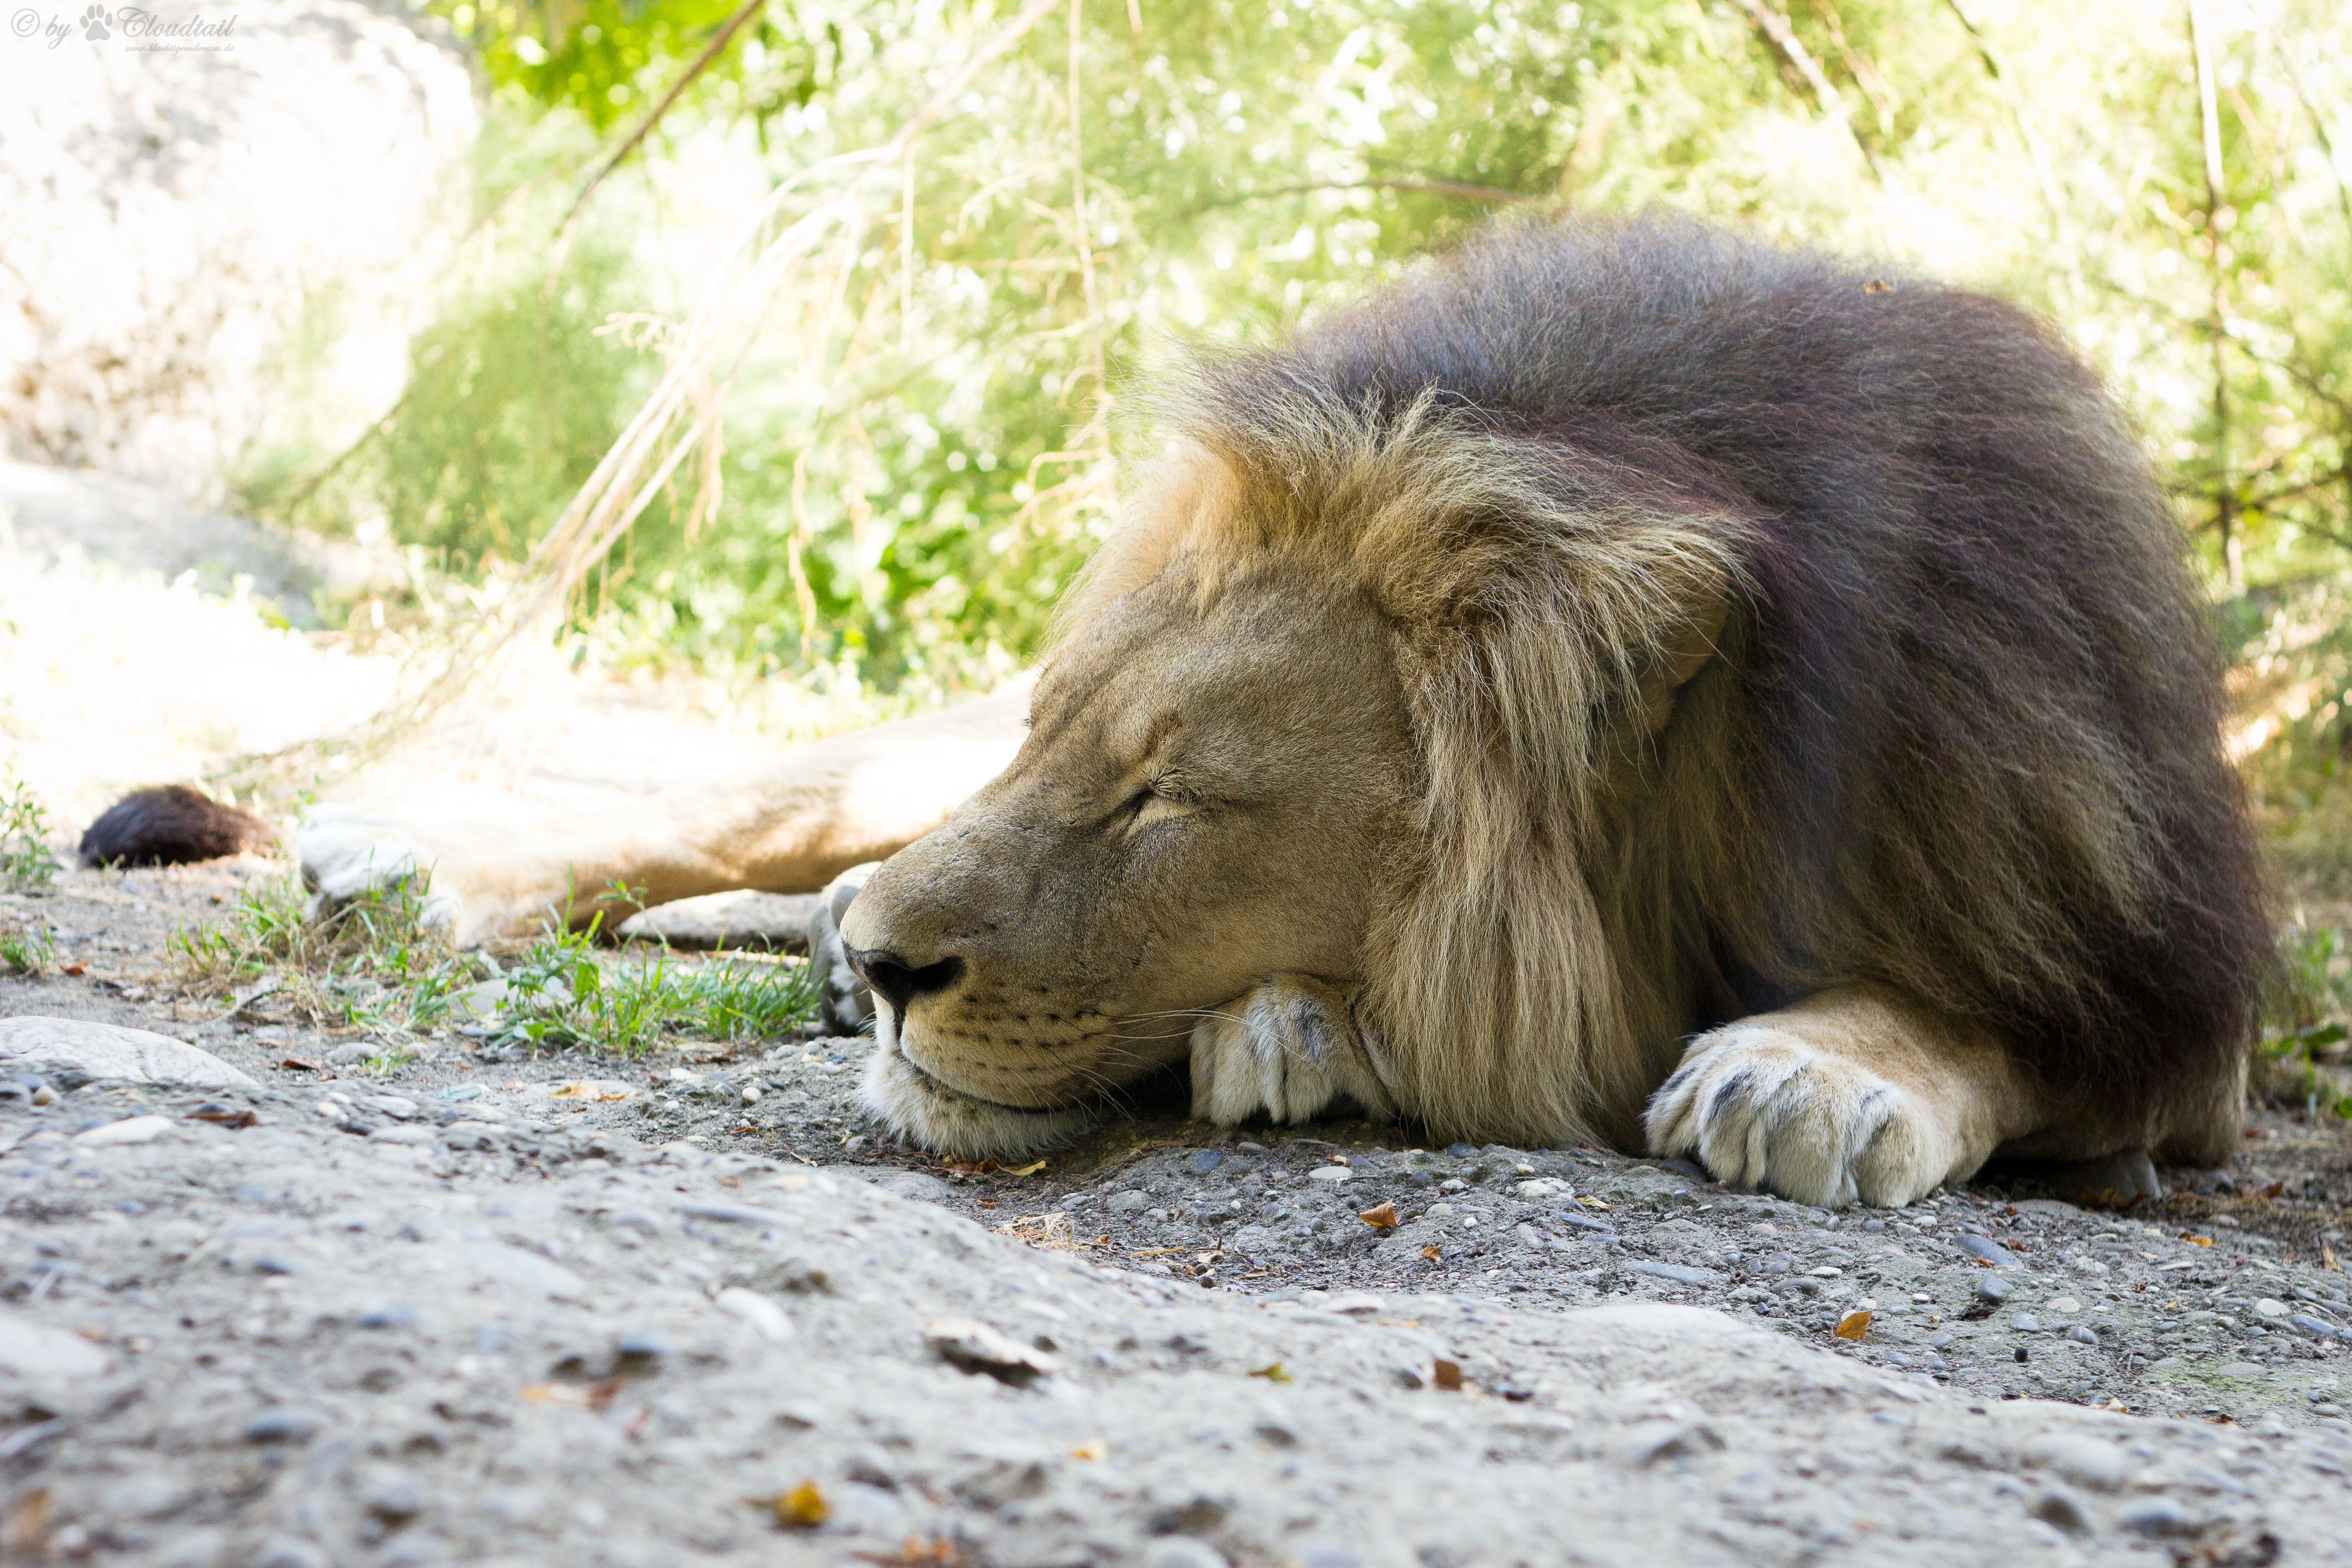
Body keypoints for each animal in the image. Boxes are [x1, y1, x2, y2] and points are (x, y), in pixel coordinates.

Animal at [284, 215, 2267, 1213]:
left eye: (1167, 801)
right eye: (1057, 750)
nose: (898, 975)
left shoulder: (2158, 985)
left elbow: (2006, 1028)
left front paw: (1820, 1071)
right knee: (775, 796)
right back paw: (417, 852)